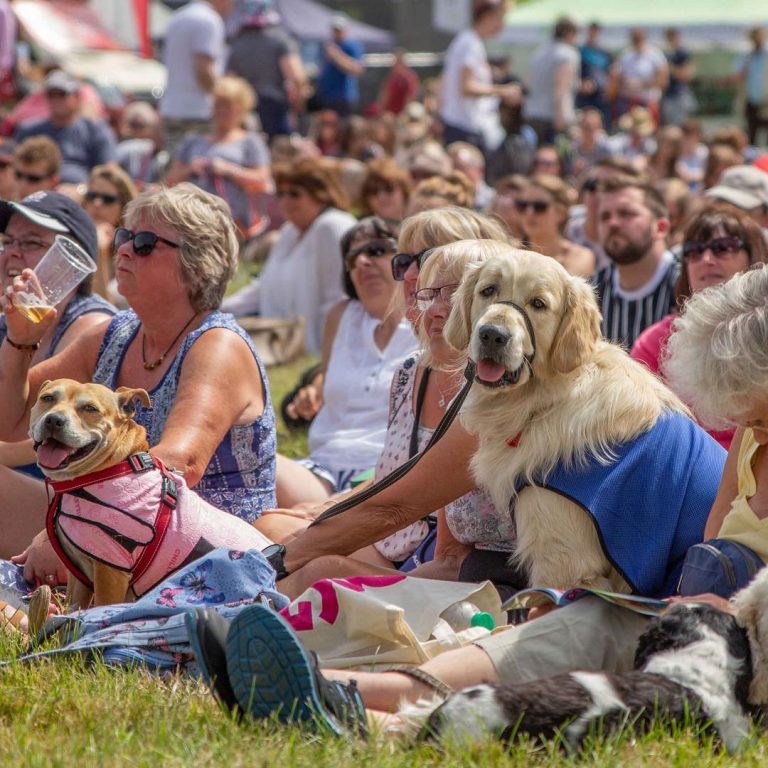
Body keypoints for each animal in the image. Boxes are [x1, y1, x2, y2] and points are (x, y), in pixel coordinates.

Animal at [31, 376, 272, 608]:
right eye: (47, 398)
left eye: (90, 408)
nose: (54, 420)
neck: (111, 469)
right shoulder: (79, 575)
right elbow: (72, 616)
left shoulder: (110, 573)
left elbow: (100, 608)